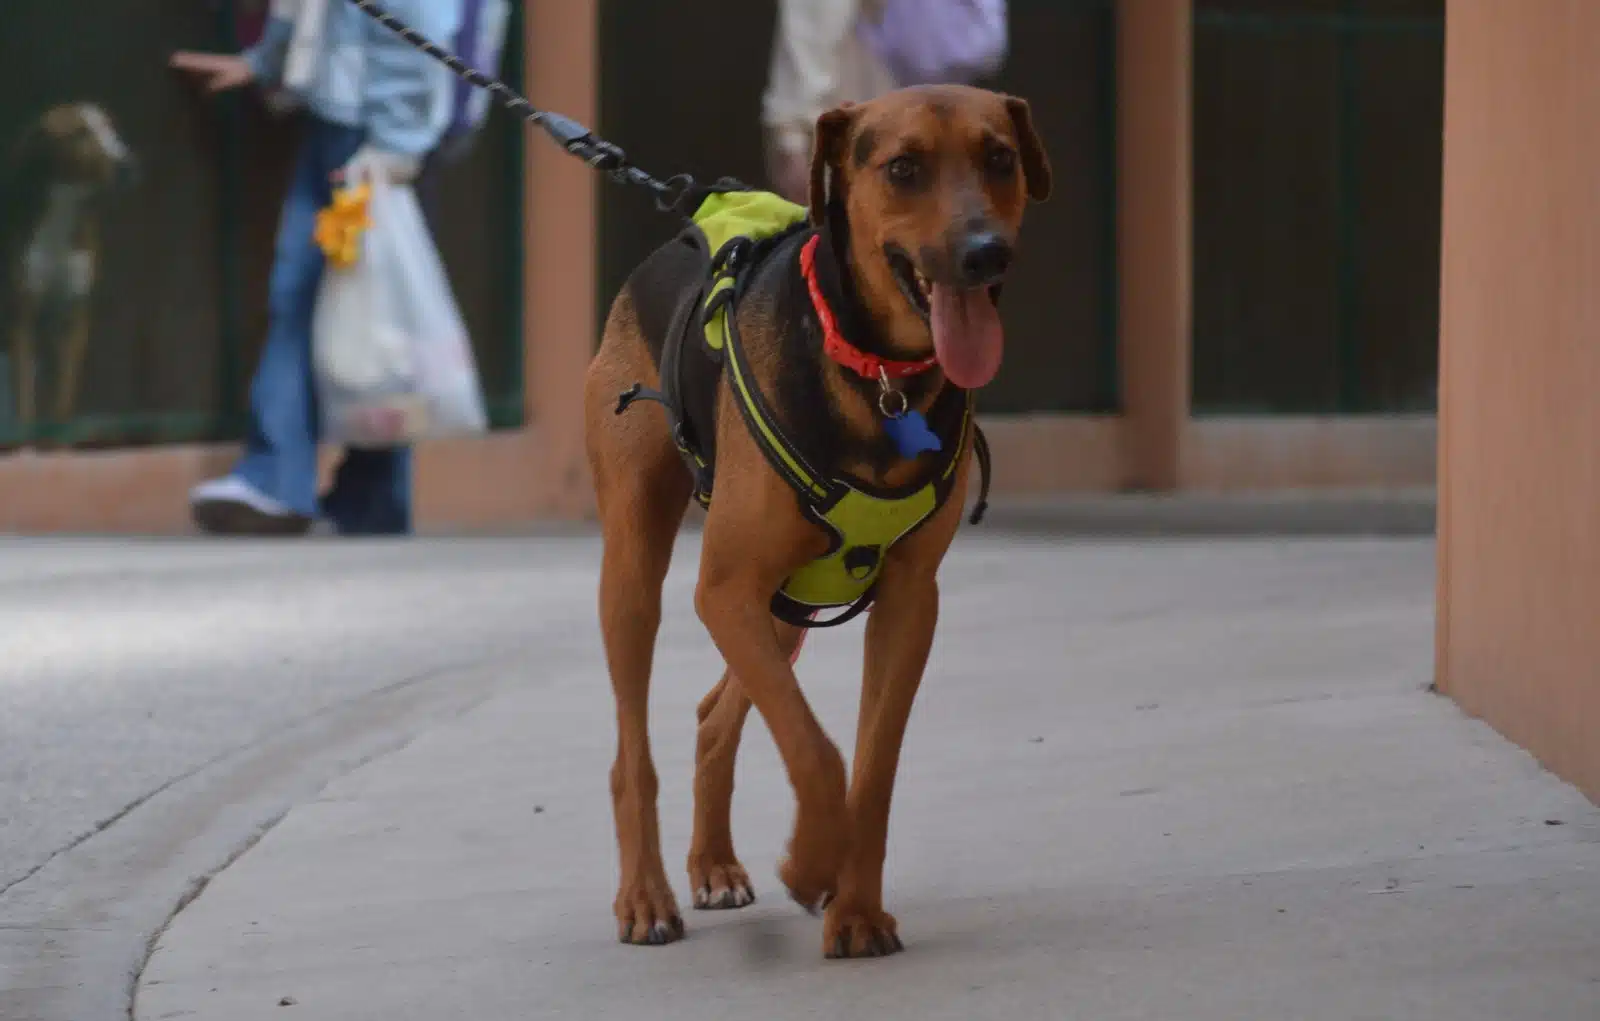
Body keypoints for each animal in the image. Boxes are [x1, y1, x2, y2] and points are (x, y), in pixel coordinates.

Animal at [582, 86, 1043, 960]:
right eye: (904, 167)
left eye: (1000, 157)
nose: (986, 254)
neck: (875, 373)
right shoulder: (724, 587)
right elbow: (816, 750)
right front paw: (808, 862)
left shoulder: (908, 599)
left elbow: (871, 765)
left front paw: (854, 907)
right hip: (638, 567)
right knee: (630, 750)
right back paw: (644, 895)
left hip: (791, 601)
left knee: (713, 715)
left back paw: (714, 864)